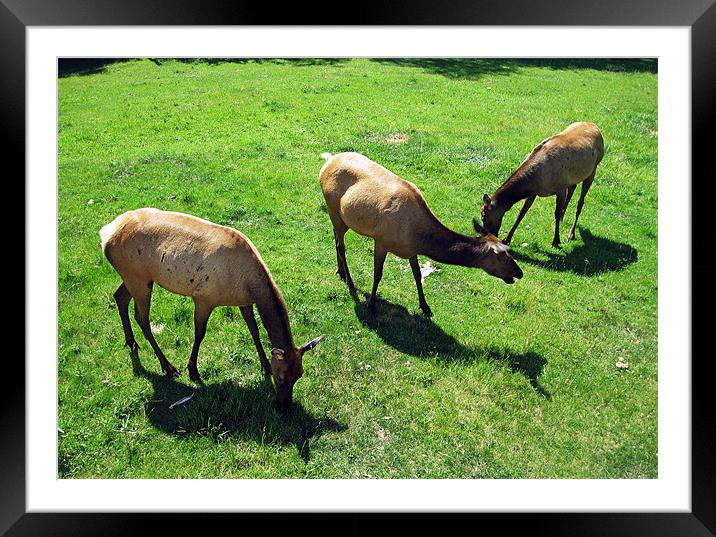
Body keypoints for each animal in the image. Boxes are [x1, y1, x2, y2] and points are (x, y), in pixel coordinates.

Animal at [99, 207, 324, 408]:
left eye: (300, 374)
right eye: (281, 377)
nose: (285, 406)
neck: (248, 285)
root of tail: (105, 235)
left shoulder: (244, 302)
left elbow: (254, 331)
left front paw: (264, 364)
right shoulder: (204, 298)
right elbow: (199, 334)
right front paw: (193, 370)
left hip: (136, 277)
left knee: (119, 297)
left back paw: (131, 342)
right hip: (137, 278)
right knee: (142, 318)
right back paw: (168, 367)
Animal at [318, 151, 520, 316]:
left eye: (510, 252)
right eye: (502, 257)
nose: (520, 273)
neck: (417, 238)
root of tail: (326, 162)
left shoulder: (411, 250)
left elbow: (417, 274)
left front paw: (425, 306)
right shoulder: (381, 241)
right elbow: (378, 274)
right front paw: (372, 305)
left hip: (340, 218)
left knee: (335, 238)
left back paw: (340, 271)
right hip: (333, 208)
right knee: (340, 245)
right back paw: (350, 283)